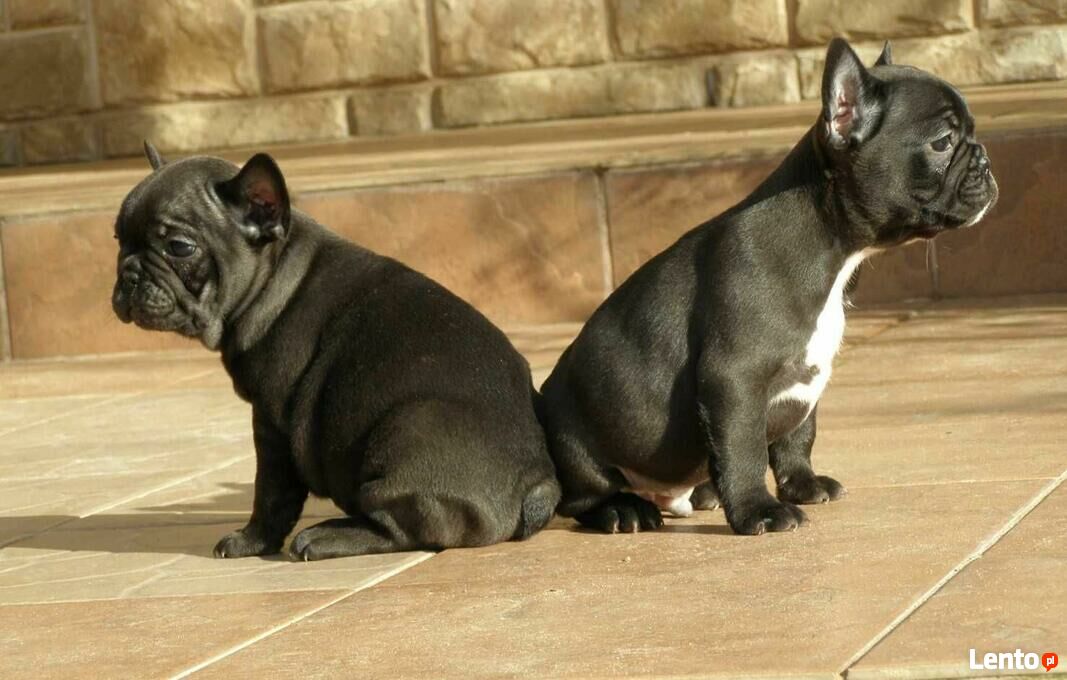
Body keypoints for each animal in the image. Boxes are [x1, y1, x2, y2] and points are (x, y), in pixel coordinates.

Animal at [112, 146, 560, 560]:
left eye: (179, 247)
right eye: (118, 239)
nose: (128, 275)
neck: (274, 273)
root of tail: (536, 483)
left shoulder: (271, 426)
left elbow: (271, 494)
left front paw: (249, 541)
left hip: (405, 429)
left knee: (404, 529)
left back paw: (326, 536)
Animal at [538, 38, 999, 536]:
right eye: (942, 142)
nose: (986, 160)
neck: (830, 246)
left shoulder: (807, 379)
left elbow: (798, 436)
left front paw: (803, 485)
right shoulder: (735, 378)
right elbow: (744, 450)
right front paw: (758, 510)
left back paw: (702, 493)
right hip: (579, 448)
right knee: (583, 497)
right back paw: (624, 510)